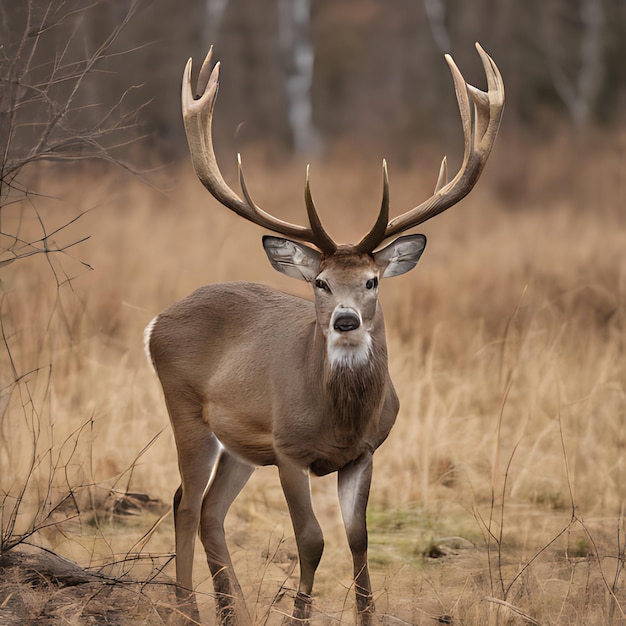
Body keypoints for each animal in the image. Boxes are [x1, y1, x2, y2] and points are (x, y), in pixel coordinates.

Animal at [145, 41, 502, 620]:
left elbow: (358, 538)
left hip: (242, 445)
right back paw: (188, 610)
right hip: (185, 408)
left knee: (210, 511)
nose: (346, 319)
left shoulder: (366, 451)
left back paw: (236, 612)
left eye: (372, 280)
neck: (339, 418)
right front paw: (298, 615)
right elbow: (311, 540)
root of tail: (158, 321)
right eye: (320, 281)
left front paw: (366, 616)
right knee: (185, 501)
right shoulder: (289, 449)